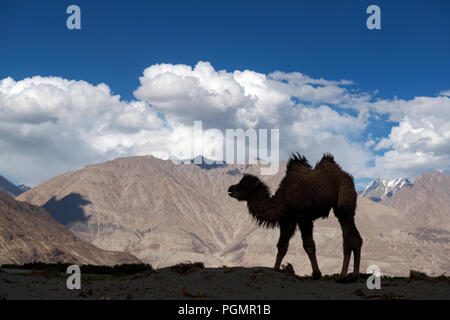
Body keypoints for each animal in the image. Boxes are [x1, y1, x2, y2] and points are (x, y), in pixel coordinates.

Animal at [229, 152, 362, 280]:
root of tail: (348, 177)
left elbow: (308, 244)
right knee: (357, 238)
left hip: (343, 200)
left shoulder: (303, 215)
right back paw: (354, 275)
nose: (230, 188)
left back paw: (342, 276)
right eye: (240, 182)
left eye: (244, 186)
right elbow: (282, 245)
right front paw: (276, 268)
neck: (284, 198)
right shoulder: (288, 219)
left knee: (348, 238)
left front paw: (316, 274)